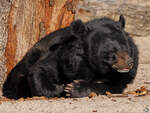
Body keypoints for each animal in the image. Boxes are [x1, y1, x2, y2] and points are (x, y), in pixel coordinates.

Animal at [2, 15, 139, 99]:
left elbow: (111, 86)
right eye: (112, 52)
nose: (129, 63)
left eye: (126, 47)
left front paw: (73, 87)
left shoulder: (122, 76)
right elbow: (40, 69)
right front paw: (61, 88)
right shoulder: (62, 58)